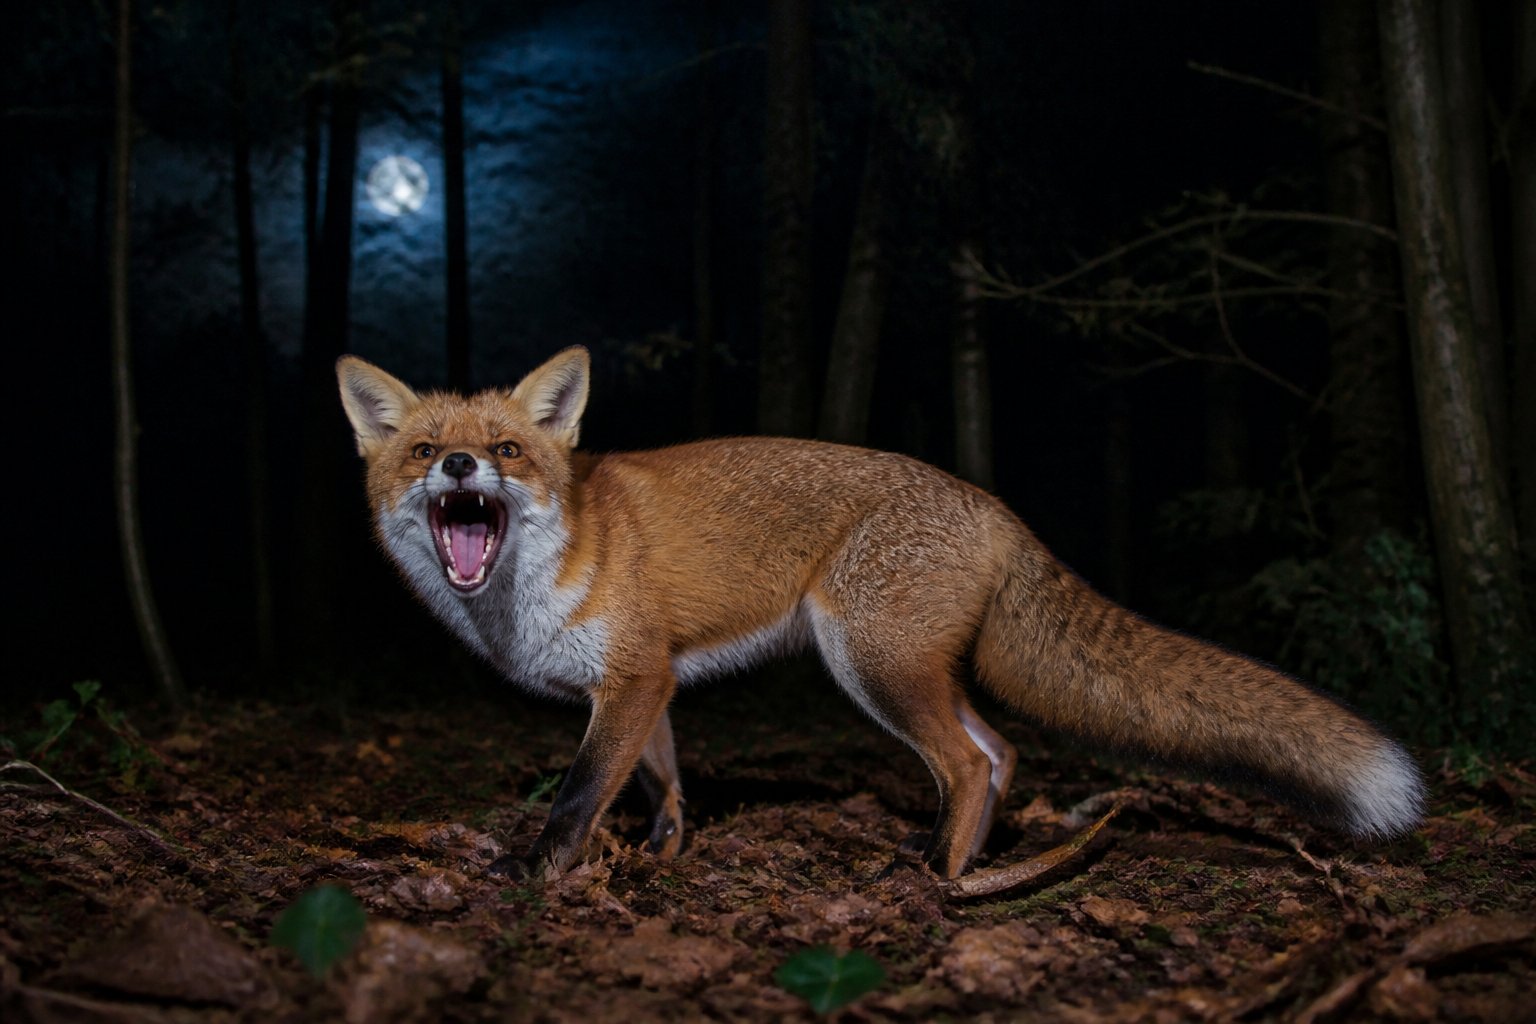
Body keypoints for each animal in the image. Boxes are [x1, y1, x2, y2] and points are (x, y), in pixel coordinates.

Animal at [337, 346, 1425, 880]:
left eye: (508, 451)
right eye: (425, 447)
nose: (459, 466)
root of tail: (994, 506)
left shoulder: (634, 678)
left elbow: (577, 796)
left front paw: (537, 877)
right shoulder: (649, 682)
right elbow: (662, 786)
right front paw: (659, 860)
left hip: (873, 666)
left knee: (970, 761)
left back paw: (936, 881)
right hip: (908, 669)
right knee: (1000, 751)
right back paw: (966, 860)